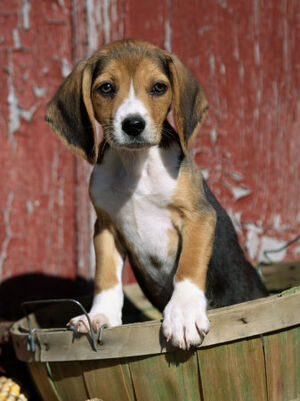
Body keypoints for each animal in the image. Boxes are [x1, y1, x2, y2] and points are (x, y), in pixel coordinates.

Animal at [46, 39, 268, 348]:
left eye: (159, 87)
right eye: (106, 88)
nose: (133, 124)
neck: (136, 164)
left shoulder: (198, 217)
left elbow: (189, 266)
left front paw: (184, 315)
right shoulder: (105, 227)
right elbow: (105, 277)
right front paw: (101, 316)